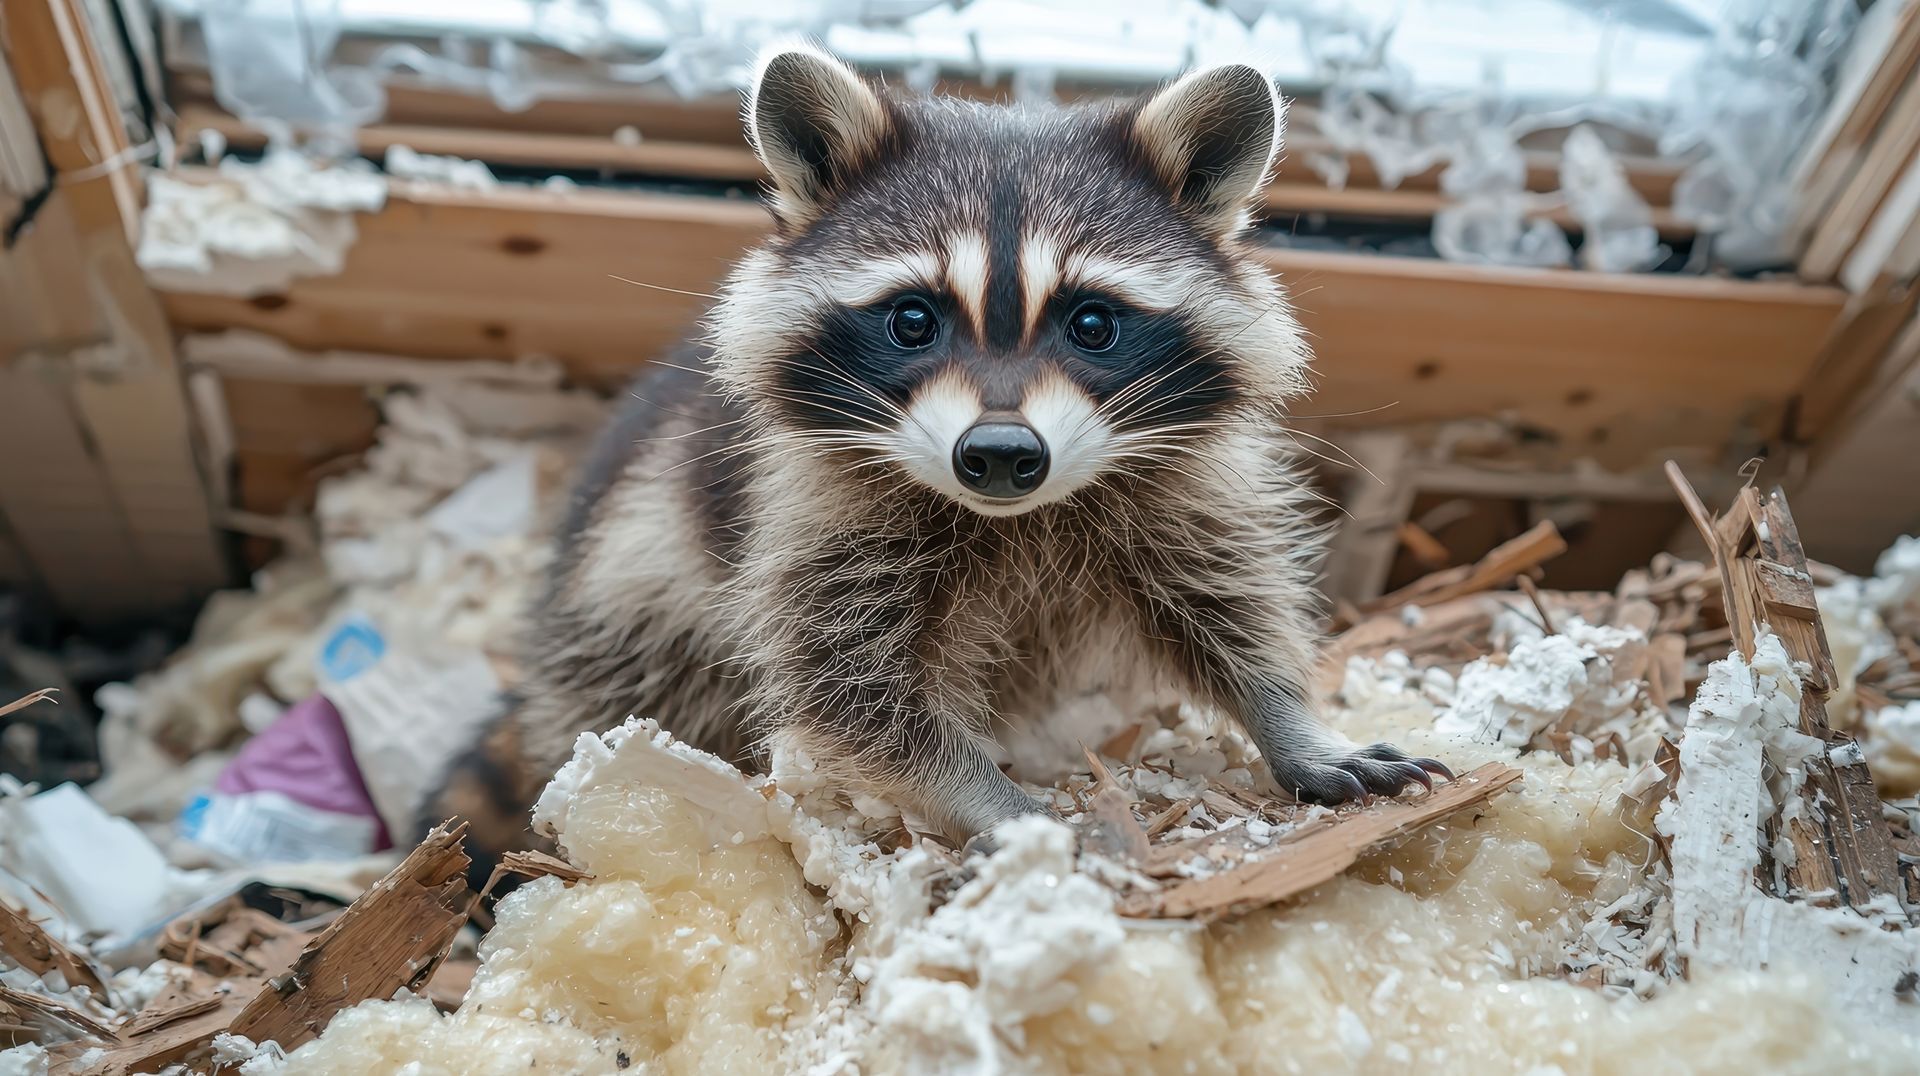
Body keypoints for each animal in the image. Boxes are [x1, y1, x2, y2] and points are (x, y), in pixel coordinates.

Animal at [422, 46, 1451, 866]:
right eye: (913, 320)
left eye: (1092, 324)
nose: (997, 453)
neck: (1019, 517)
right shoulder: (806, 507)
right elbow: (856, 693)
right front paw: (997, 802)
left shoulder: (1177, 483)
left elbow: (1229, 602)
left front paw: (1289, 719)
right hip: (629, 586)